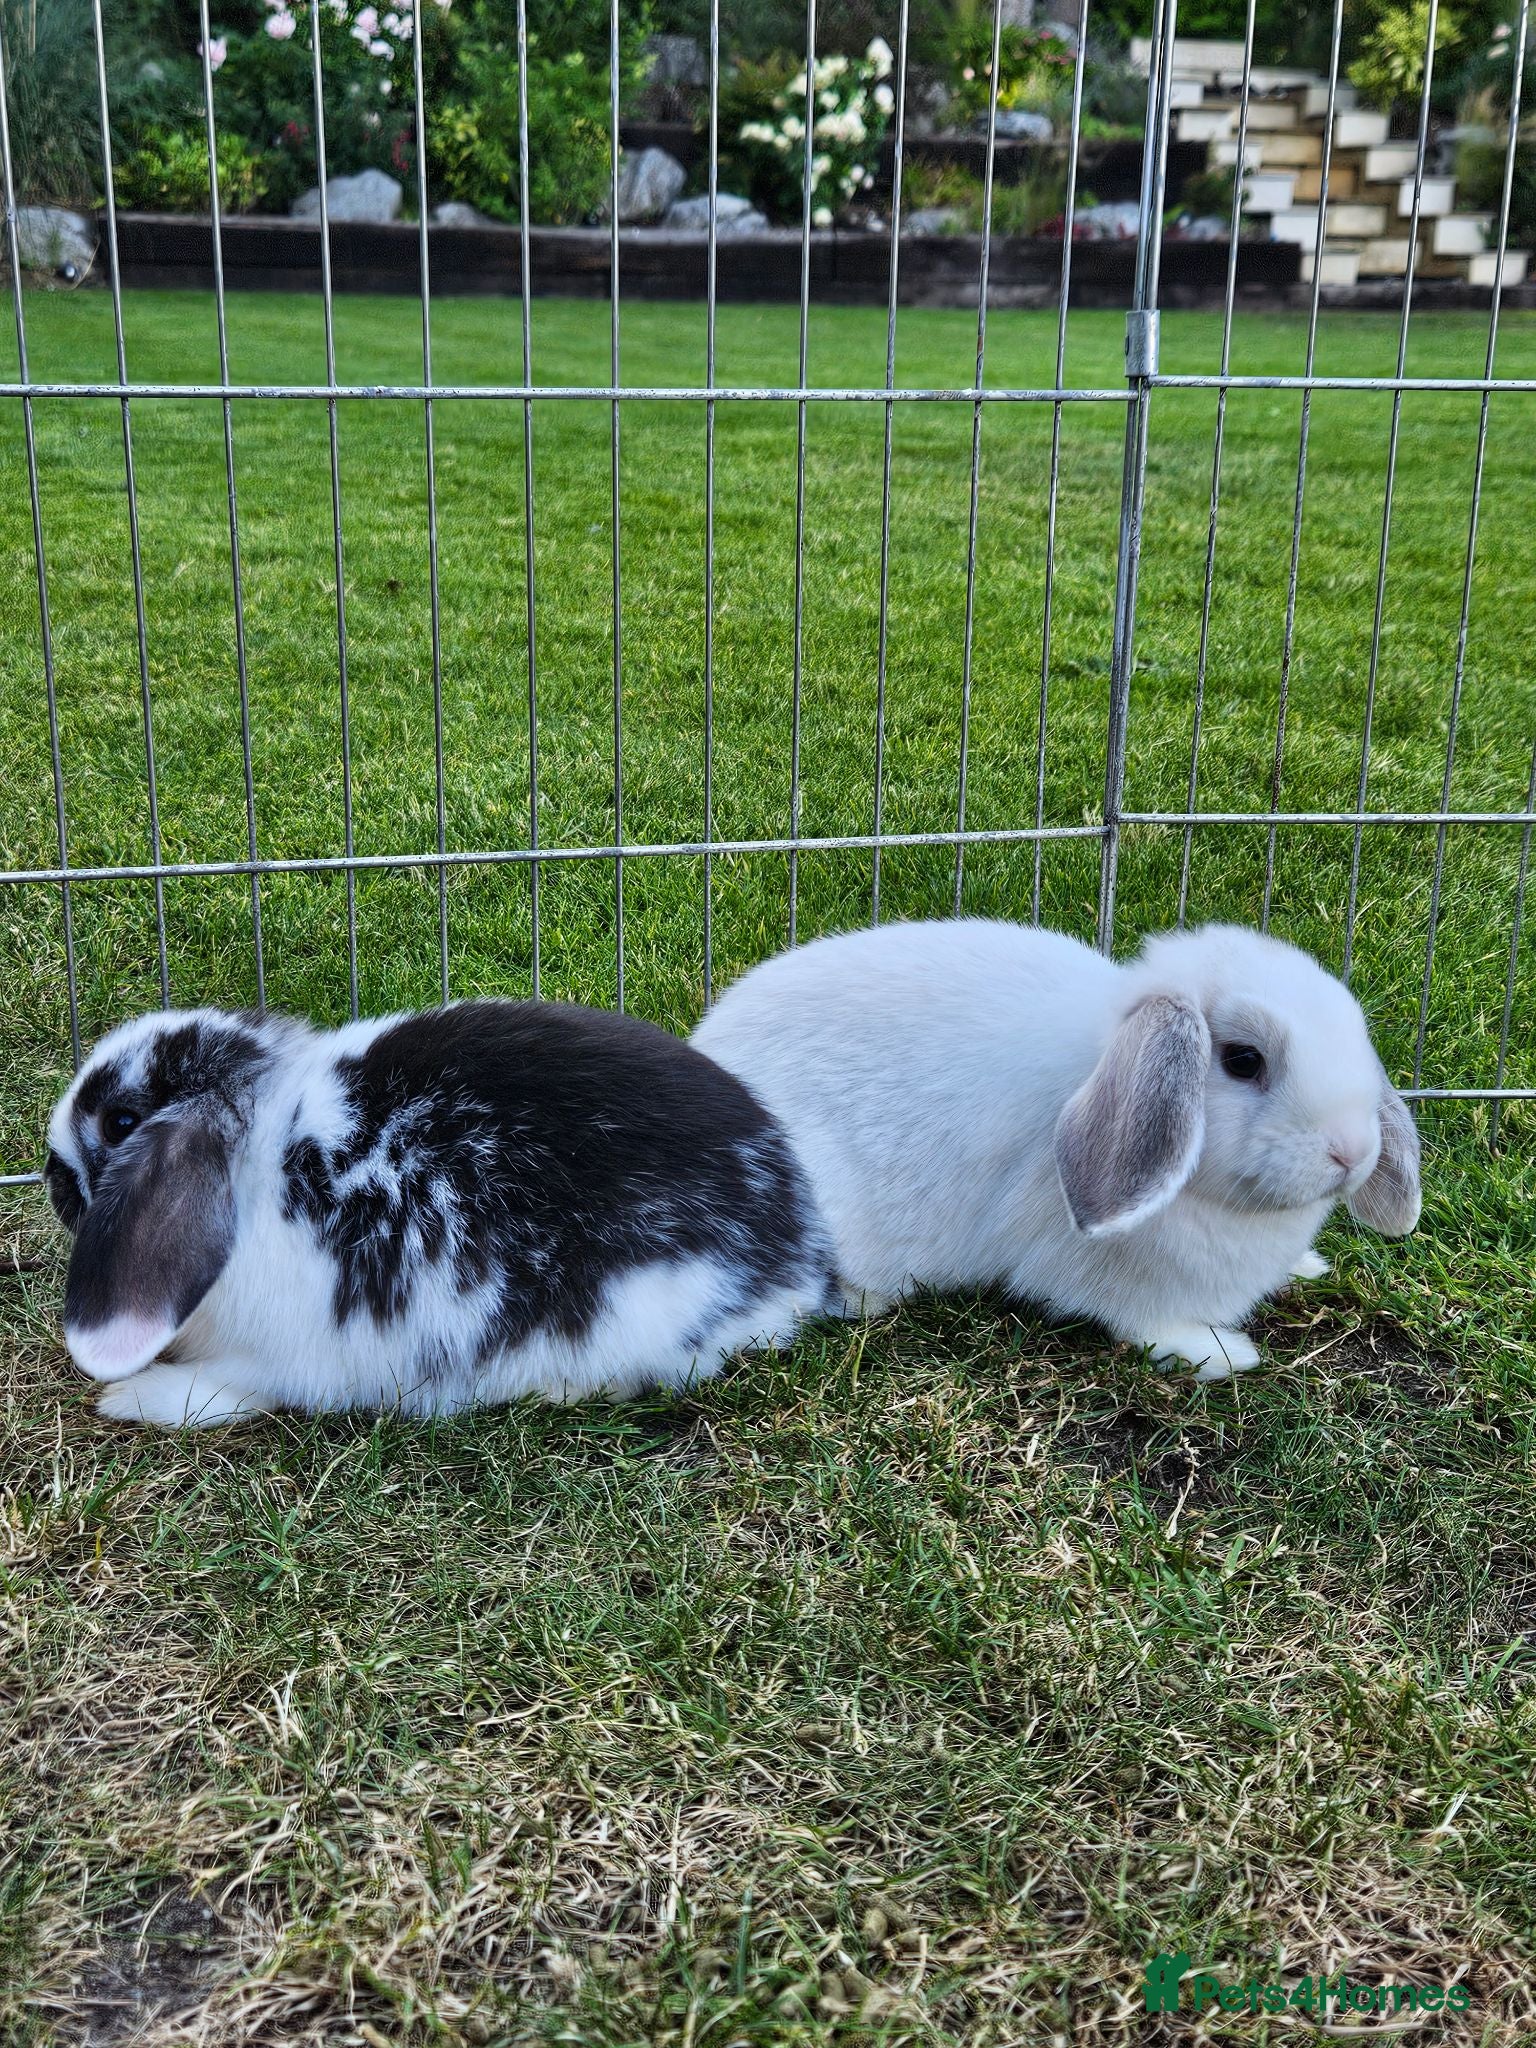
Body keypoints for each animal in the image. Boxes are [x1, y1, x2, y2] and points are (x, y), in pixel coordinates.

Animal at [45, 999, 838, 1427]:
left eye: (120, 1121)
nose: (51, 1181)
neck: (260, 1163)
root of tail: (798, 1258)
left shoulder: (272, 1359)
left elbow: (226, 1392)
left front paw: (128, 1397)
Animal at [693, 919, 1421, 1381]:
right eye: (1244, 1060)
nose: (1352, 1152)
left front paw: (1308, 1265)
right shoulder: (1106, 1279)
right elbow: (1144, 1321)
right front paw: (1219, 1353)